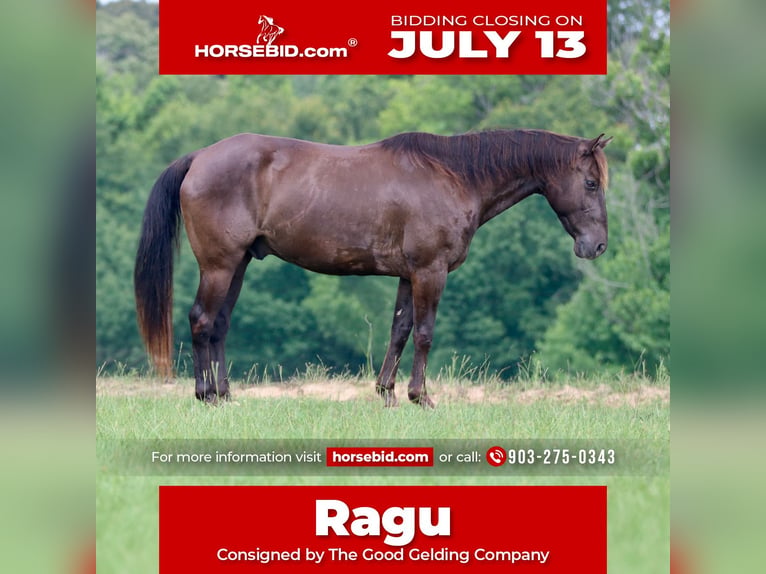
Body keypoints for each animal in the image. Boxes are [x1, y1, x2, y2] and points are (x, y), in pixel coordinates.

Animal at [134, 129, 611, 407]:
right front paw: (421, 397)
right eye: (591, 182)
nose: (598, 245)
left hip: (238, 265)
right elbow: (424, 333)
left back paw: (226, 395)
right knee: (202, 320)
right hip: (219, 265)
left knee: (219, 325)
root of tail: (199, 157)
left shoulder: (408, 274)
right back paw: (206, 396)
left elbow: (399, 330)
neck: (453, 175)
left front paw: (387, 395)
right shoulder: (430, 272)